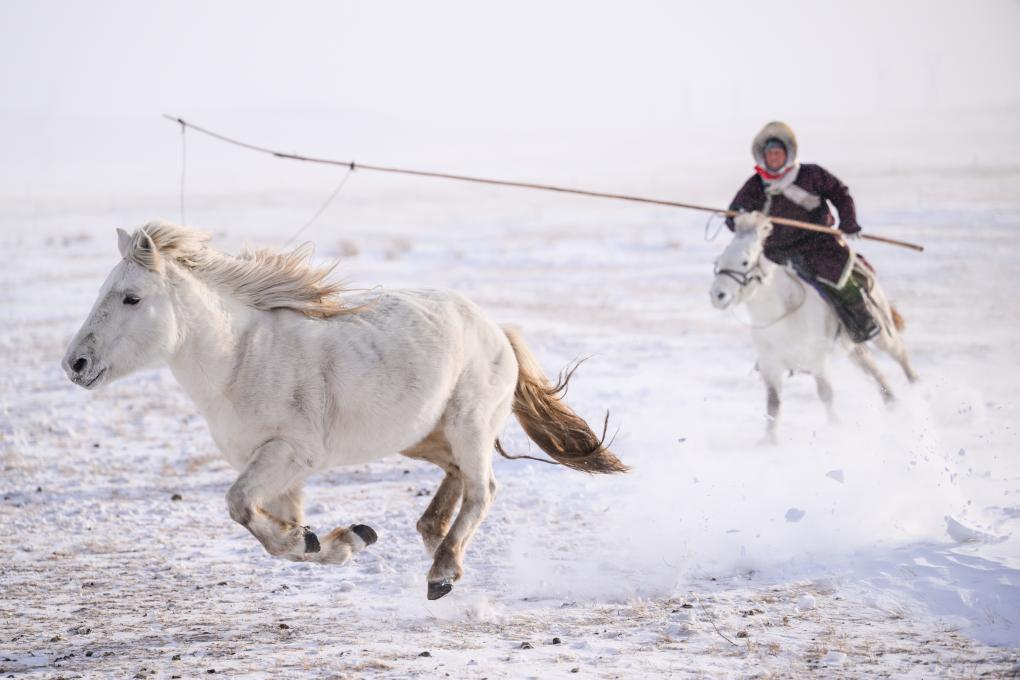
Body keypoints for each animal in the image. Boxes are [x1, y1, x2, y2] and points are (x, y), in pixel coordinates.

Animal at [65, 221, 628, 599]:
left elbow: (239, 506)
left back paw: (443, 571)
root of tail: (497, 330)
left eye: (131, 298)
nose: (75, 363)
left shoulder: (289, 455)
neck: (240, 358)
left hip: (467, 424)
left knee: (482, 488)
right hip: (421, 436)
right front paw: (338, 540)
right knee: (456, 480)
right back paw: (436, 548)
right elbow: (277, 535)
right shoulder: (281, 473)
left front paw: (336, 540)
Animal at [709, 214, 918, 446]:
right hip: (853, 348)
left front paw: (835, 427)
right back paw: (892, 403)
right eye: (720, 259)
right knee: (873, 368)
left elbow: (826, 395)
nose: (718, 295)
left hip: (881, 330)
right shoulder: (770, 366)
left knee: (899, 353)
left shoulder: (818, 362)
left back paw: (917, 388)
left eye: (744, 261)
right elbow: (773, 404)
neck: (783, 316)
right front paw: (768, 441)